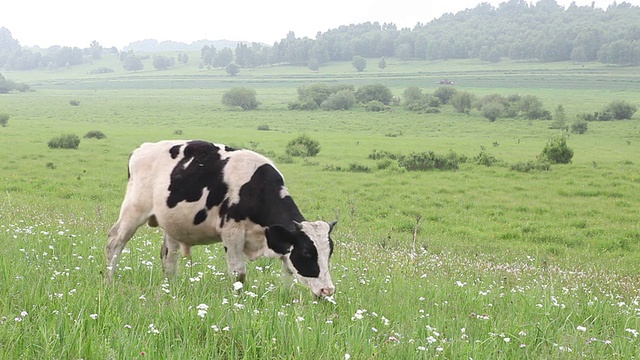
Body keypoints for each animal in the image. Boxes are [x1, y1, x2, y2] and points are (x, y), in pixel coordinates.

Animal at [106, 139, 336, 296]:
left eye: (329, 253)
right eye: (307, 253)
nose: (328, 290)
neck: (256, 187)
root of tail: (143, 148)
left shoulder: (280, 240)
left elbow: (288, 272)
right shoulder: (232, 232)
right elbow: (238, 273)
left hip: (170, 224)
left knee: (168, 258)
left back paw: (171, 287)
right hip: (133, 210)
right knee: (114, 242)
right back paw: (109, 280)